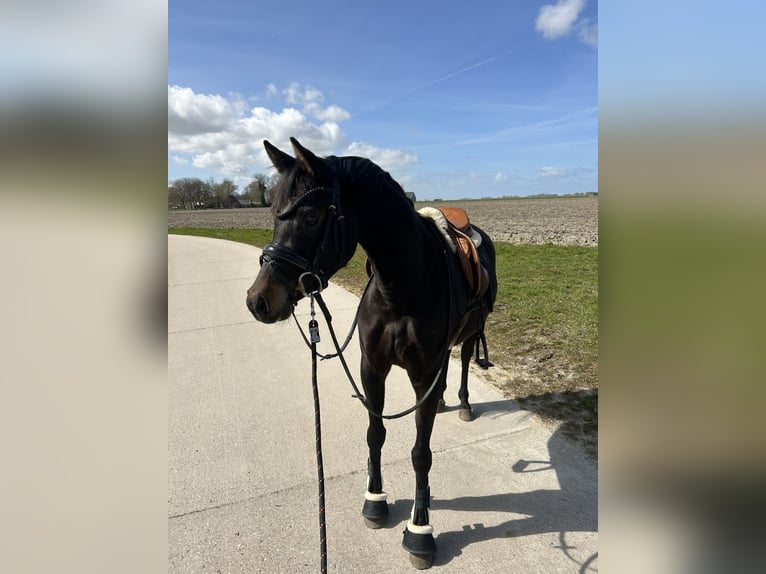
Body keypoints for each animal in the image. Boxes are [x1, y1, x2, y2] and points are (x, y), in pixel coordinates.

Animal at [246, 137, 497, 569]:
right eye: (276, 215)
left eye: (310, 218)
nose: (258, 300)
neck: (402, 287)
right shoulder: (372, 369)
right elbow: (375, 434)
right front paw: (375, 500)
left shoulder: (422, 373)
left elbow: (420, 453)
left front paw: (420, 530)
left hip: (471, 333)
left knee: (464, 360)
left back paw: (463, 403)